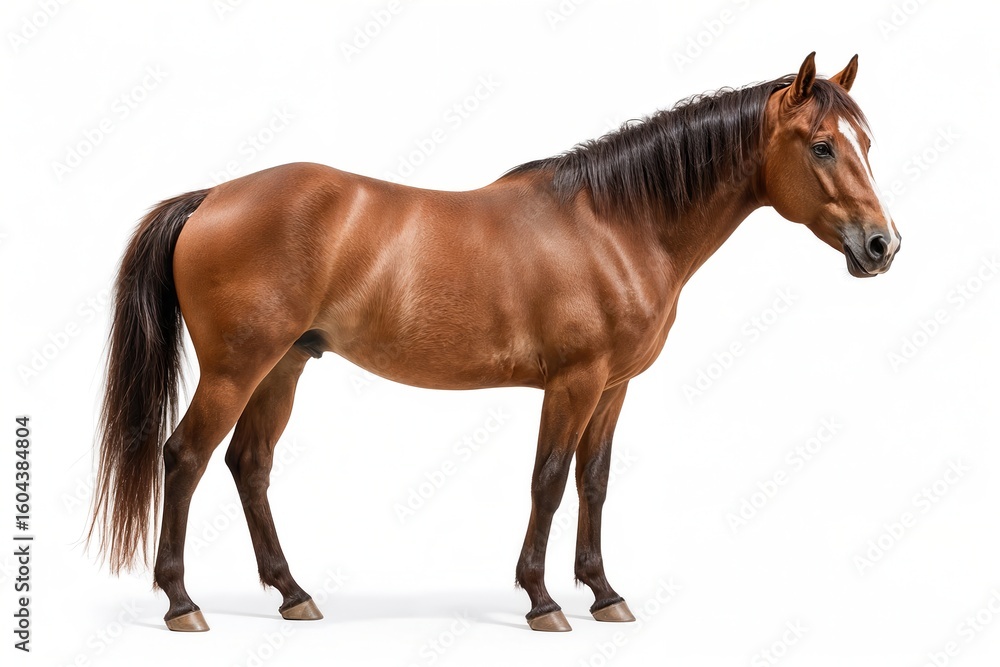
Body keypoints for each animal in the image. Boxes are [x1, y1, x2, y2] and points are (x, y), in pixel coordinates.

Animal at [88, 52, 900, 633]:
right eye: (821, 146)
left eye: (865, 141)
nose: (882, 245)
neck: (615, 224)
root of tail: (211, 198)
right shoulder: (574, 381)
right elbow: (548, 479)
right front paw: (543, 600)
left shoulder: (613, 386)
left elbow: (594, 481)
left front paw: (604, 592)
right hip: (237, 367)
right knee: (184, 457)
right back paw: (182, 603)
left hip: (284, 365)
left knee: (248, 464)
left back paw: (293, 593)